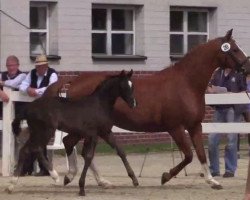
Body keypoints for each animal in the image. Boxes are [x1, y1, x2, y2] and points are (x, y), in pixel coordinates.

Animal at [7, 70, 139, 195]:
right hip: (45, 131)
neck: (99, 105)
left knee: (29, 149)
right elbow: (89, 156)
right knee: (31, 149)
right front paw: (81, 188)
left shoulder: (105, 132)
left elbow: (120, 151)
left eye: (132, 86)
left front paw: (134, 180)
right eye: (123, 86)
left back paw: (16, 184)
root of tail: (28, 108)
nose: (133, 104)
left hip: (37, 132)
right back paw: (50, 177)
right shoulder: (93, 135)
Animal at [44, 29, 250, 189]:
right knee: (72, 144)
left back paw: (98, 180)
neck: (186, 83)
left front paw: (212, 181)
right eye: (234, 49)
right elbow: (189, 155)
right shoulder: (175, 128)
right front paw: (165, 177)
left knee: (76, 146)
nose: (246, 67)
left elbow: (200, 153)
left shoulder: (194, 126)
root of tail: (74, 81)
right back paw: (74, 176)